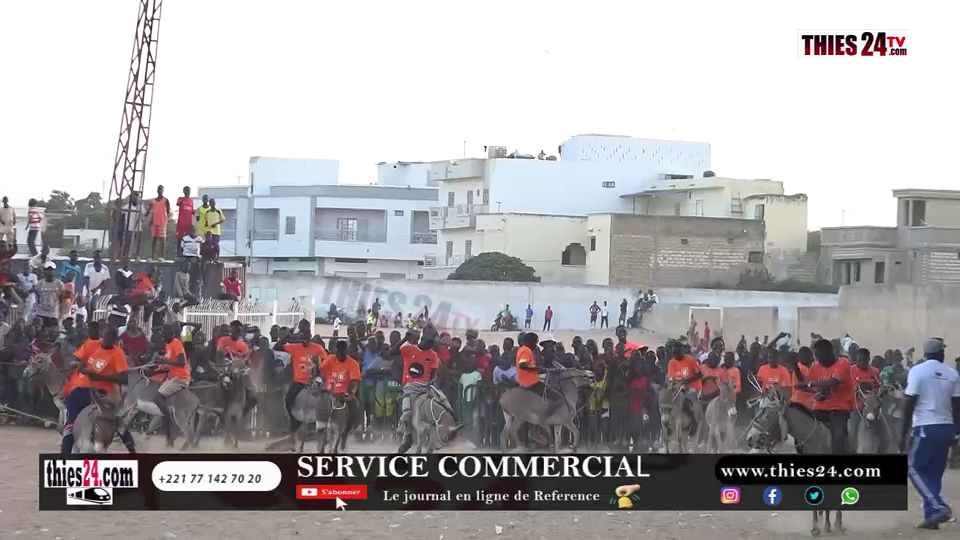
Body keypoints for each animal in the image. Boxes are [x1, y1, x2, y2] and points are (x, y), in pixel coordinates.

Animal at [744, 387, 842, 537]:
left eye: (769, 414)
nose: (750, 438)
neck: (815, 440)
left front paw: (827, 525)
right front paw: (816, 527)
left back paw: (838, 523)